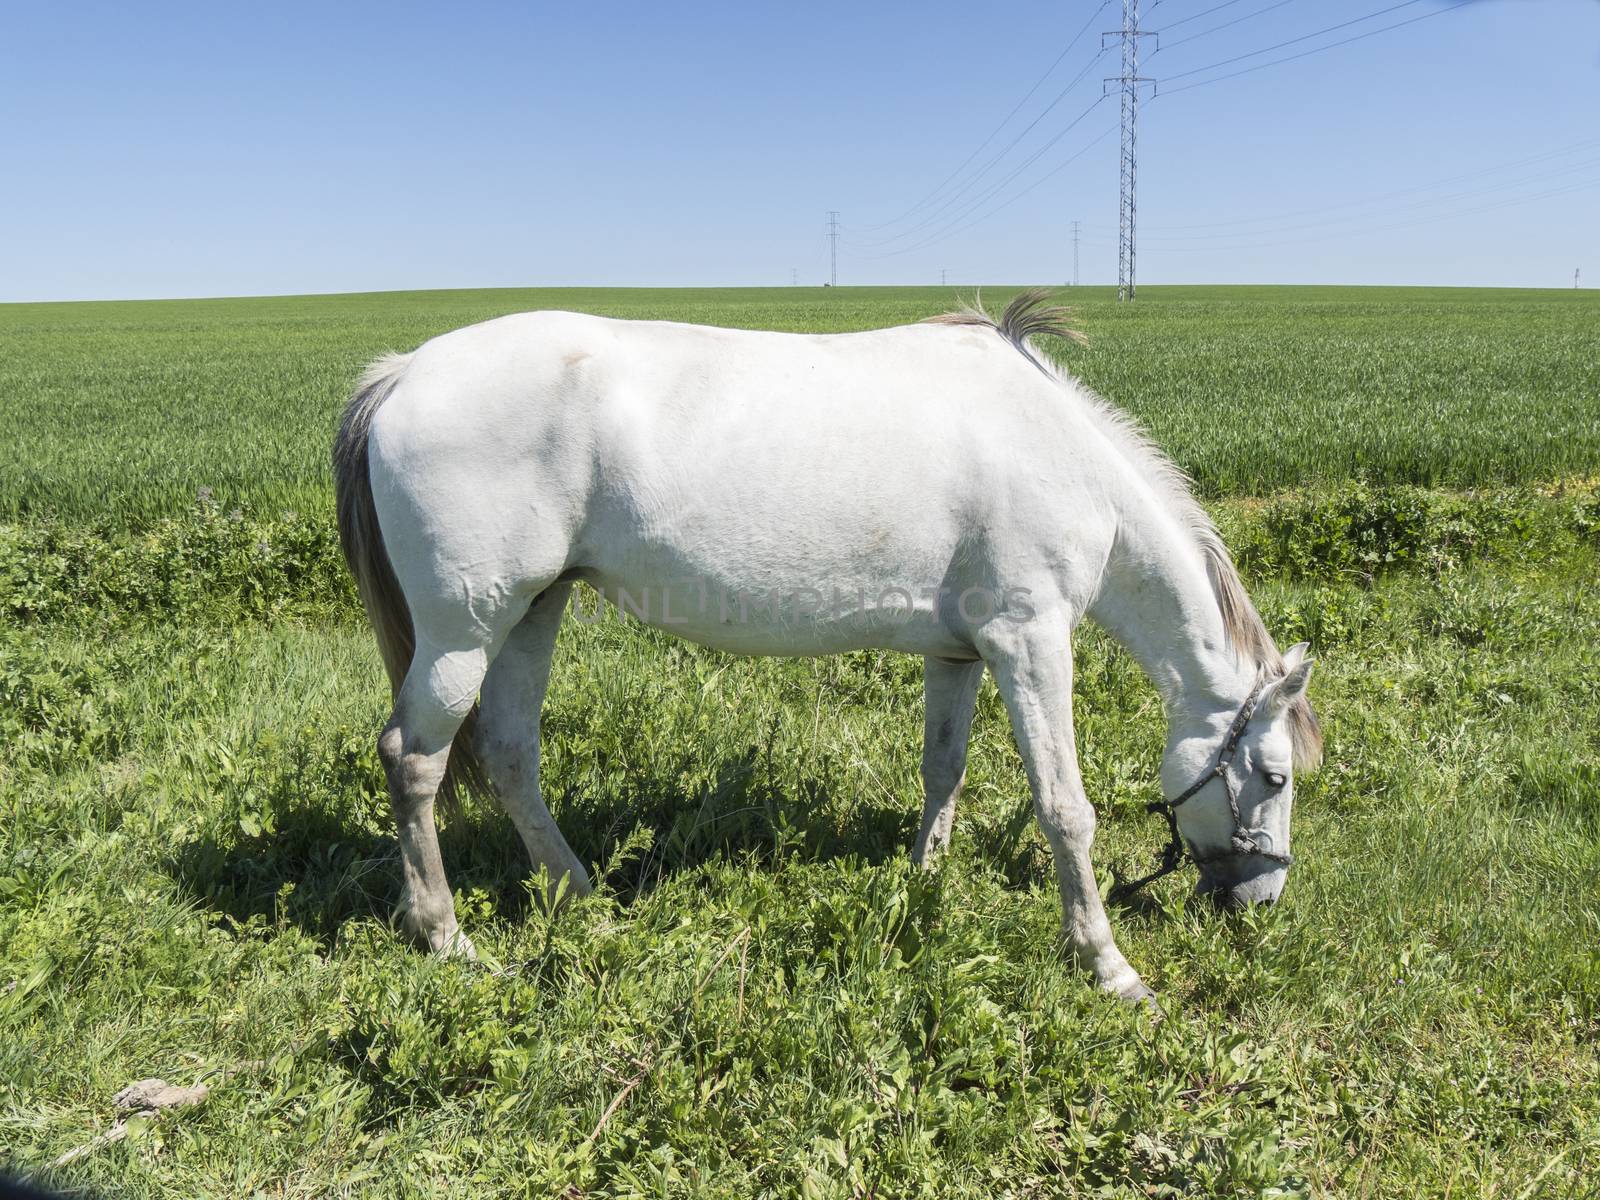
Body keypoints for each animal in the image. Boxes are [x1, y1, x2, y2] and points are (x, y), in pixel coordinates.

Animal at [331, 291, 1318, 1004]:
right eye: (1272, 776)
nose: (1261, 902)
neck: (1058, 454)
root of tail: (404, 373)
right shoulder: (1031, 643)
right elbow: (1065, 808)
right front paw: (1109, 967)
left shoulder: (960, 654)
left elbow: (943, 769)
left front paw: (924, 884)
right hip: (463, 630)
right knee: (413, 760)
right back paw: (446, 935)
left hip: (534, 610)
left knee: (508, 754)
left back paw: (580, 894)